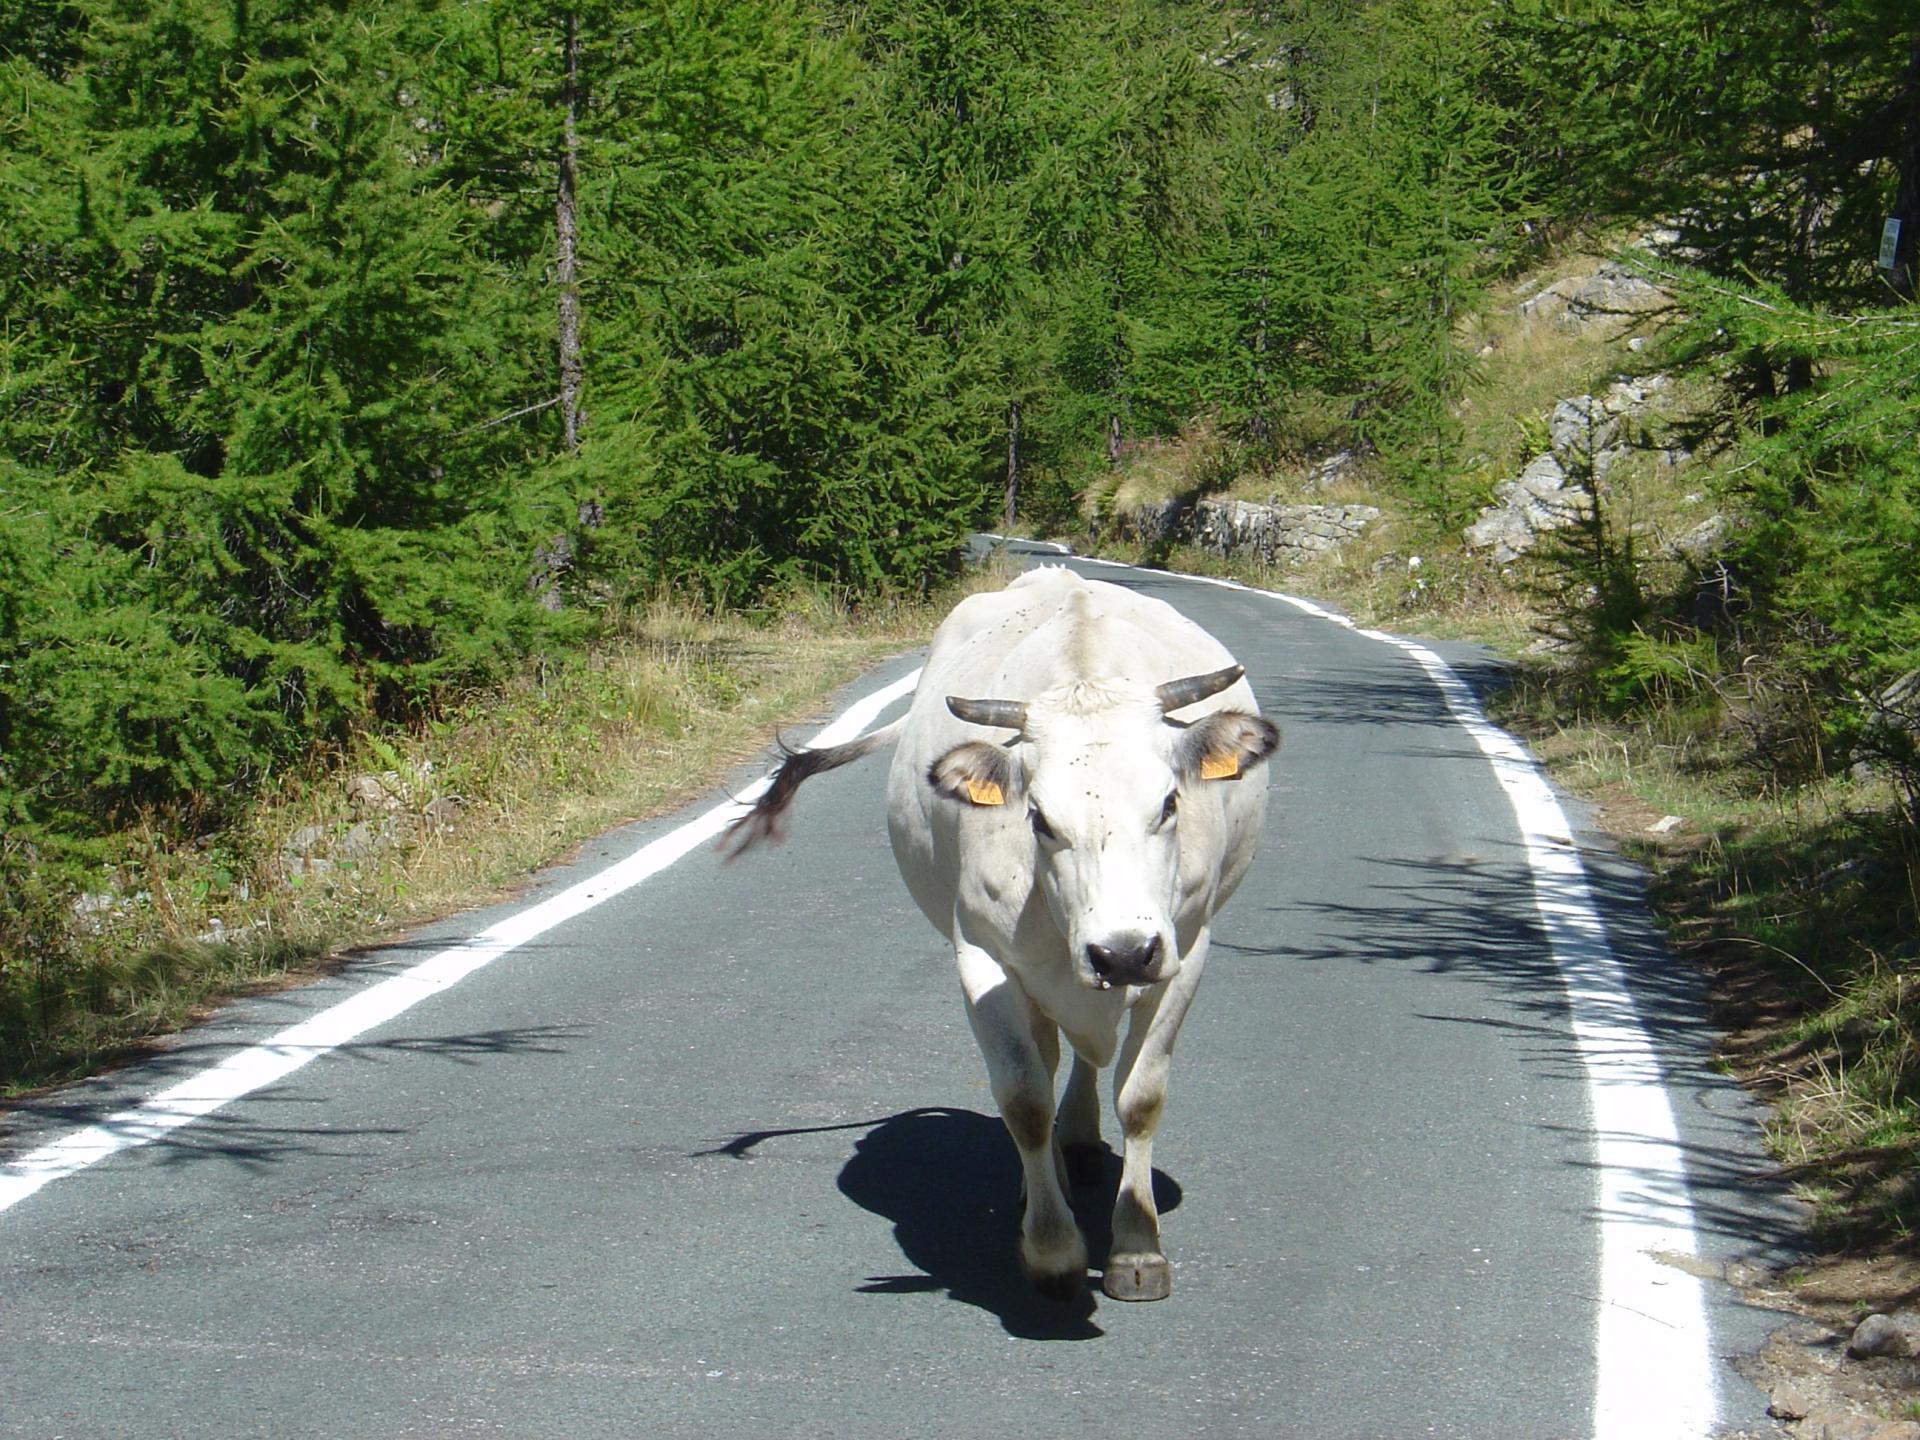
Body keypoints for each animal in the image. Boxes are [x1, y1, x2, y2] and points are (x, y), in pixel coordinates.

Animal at [725, 568, 1282, 1305]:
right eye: (1039, 818)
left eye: (1169, 803)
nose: (1122, 952)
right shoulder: (983, 956)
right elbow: (1024, 1100)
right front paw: (1051, 1249)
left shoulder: (1184, 951)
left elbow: (1140, 1097)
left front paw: (1137, 1248)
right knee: (1046, 1059)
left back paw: (1081, 1140)